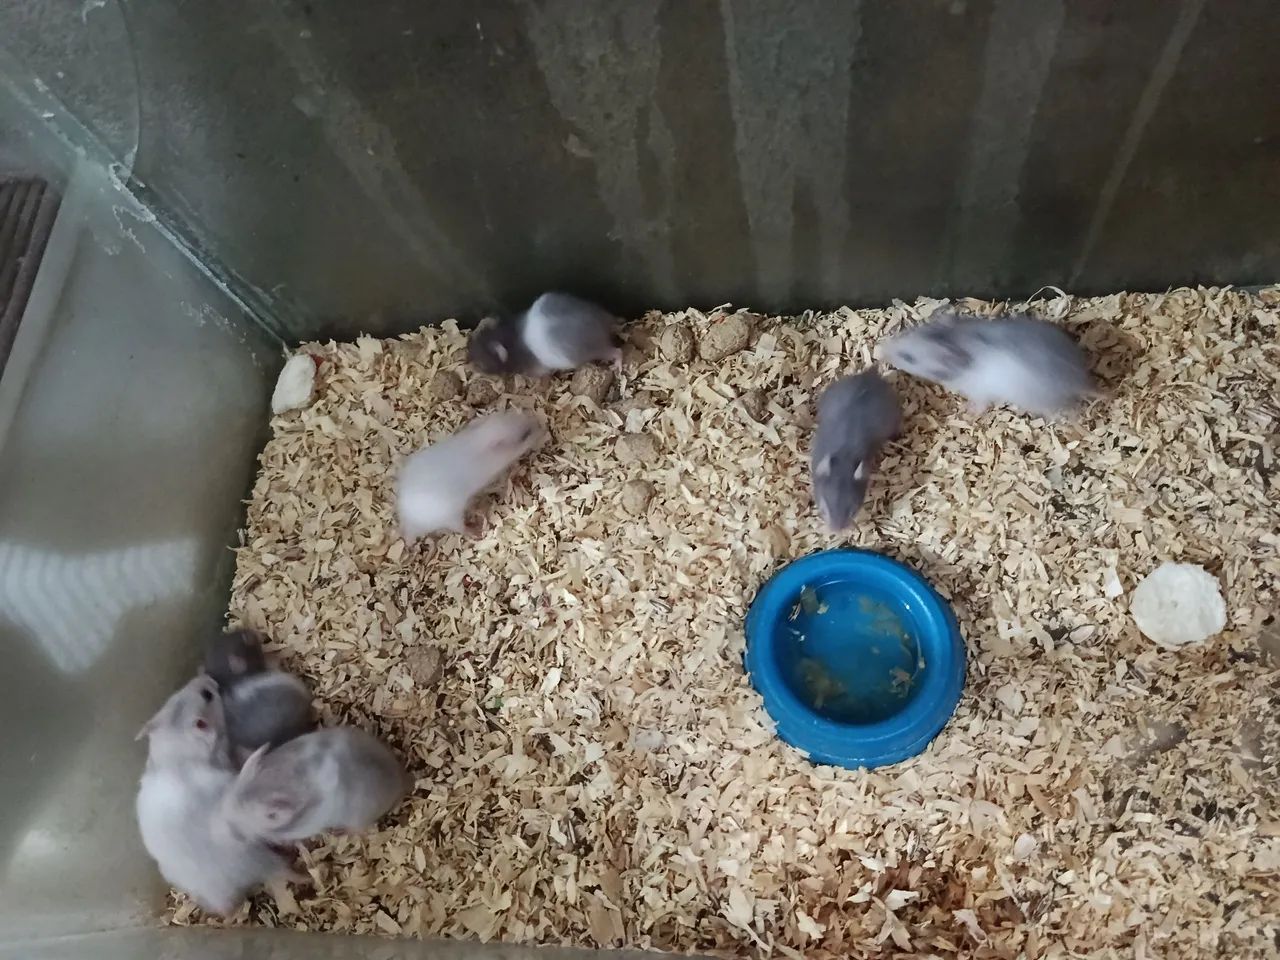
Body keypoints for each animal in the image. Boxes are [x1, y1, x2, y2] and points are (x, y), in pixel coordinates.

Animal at [396, 410, 544, 540]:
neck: (479, 441)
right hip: (452, 516)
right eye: (525, 435)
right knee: (460, 528)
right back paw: (477, 531)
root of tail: (411, 522)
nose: (541, 425)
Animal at [468, 292, 623, 376]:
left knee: (617, 351)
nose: (469, 364)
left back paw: (617, 366)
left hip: (594, 350)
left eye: (482, 364)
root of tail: (604, 321)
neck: (509, 336)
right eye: (477, 337)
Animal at [879, 310, 1096, 418]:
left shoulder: (979, 392)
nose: (883, 352)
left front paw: (968, 412)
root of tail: (1078, 380)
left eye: (909, 358)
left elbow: (980, 406)